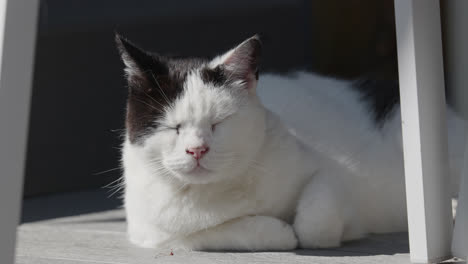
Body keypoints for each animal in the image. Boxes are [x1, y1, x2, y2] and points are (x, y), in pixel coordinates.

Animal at [114, 34, 464, 251]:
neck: (218, 191)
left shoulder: (331, 172)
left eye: (218, 123)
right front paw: (278, 232)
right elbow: (216, 232)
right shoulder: (153, 234)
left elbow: (314, 223)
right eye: (173, 127)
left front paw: (334, 231)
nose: (197, 149)